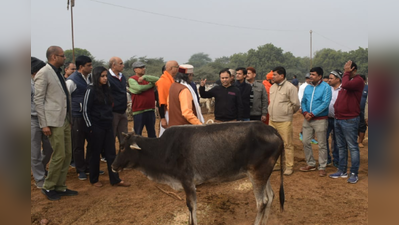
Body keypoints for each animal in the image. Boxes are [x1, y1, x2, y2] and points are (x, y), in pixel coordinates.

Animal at [112, 120, 286, 224]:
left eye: (123, 147)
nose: (113, 166)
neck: (163, 149)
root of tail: (273, 130)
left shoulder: (187, 181)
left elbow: (191, 206)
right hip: (263, 175)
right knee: (271, 196)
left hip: (257, 174)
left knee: (262, 202)